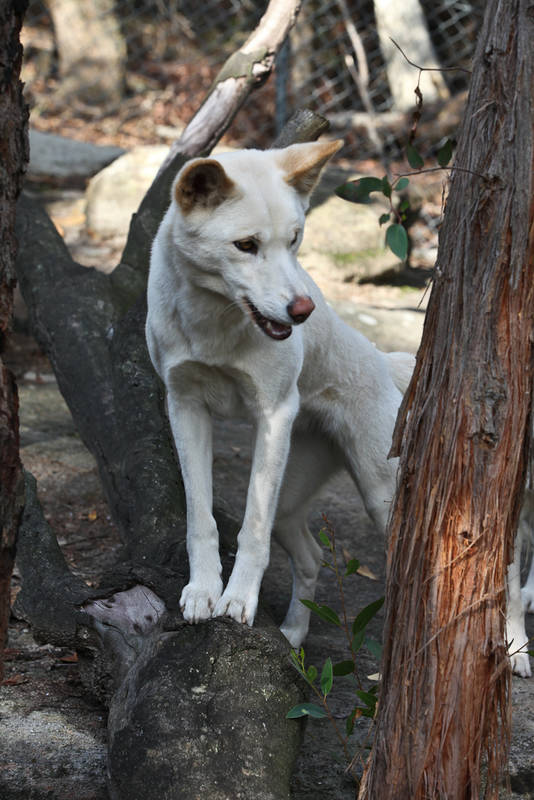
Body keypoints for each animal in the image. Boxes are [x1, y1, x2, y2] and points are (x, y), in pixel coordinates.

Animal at [148, 139, 418, 648]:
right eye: (246, 245)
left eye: (294, 240)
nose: (303, 310)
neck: (216, 322)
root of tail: (380, 358)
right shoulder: (185, 407)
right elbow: (200, 518)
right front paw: (203, 591)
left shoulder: (273, 414)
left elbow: (251, 527)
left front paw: (237, 601)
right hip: (292, 501)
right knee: (312, 557)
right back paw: (293, 635)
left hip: (383, 496)